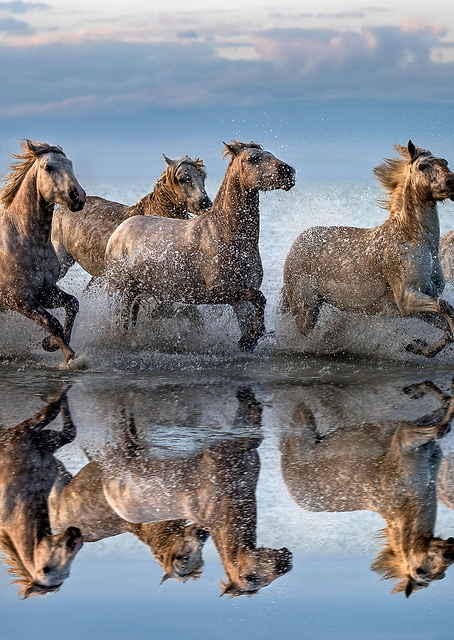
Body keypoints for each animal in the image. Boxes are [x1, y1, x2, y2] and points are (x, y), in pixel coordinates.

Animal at [0, 140, 86, 364]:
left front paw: (51, 343)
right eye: (48, 167)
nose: (78, 197)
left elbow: (73, 304)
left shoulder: (45, 291)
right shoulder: (19, 297)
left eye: (70, 164)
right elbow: (51, 321)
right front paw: (70, 357)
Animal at [0, 383, 83, 598]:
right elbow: (50, 412)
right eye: (46, 570)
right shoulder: (20, 436)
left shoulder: (46, 444)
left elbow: (69, 431)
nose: (75, 535)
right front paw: (62, 388)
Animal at [105, 141, 295, 351]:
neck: (226, 233)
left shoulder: (242, 295)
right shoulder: (216, 291)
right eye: (253, 158)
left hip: (137, 291)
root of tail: (118, 231)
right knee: (123, 324)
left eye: (270, 154)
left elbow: (254, 308)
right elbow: (259, 297)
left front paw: (248, 339)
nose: (288, 172)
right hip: (123, 290)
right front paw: (253, 335)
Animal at [280, 378, 454, 597]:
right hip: (303, 424)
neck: (407, 500)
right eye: (420, 570)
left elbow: (443, 409)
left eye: (441, 576)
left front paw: (423, 390)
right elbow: (442, 426)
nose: (450, 552)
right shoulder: (405, 439)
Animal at [282, 141, 454, 358]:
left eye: (445, 161)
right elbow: (445, 308)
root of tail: (297, 243)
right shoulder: (407, 299)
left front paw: (418, 346)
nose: (452, 182)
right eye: (422, 166)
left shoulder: (417, 303)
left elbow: (446, 326)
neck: (415, 241)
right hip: (306, 309)